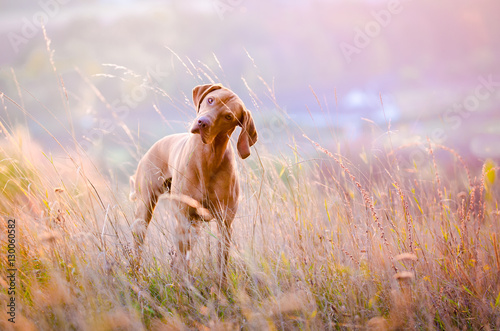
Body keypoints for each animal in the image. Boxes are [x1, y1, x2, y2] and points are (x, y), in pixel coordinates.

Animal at [129, 84, 258, 278]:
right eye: (210, 100)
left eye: (228, 116)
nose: (202, 122)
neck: (209, 158)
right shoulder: (183, 218)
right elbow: (183, 263)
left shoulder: (225, 224)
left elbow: (221, 265)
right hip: (145, 212)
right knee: (139, 246)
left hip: (195, 225)